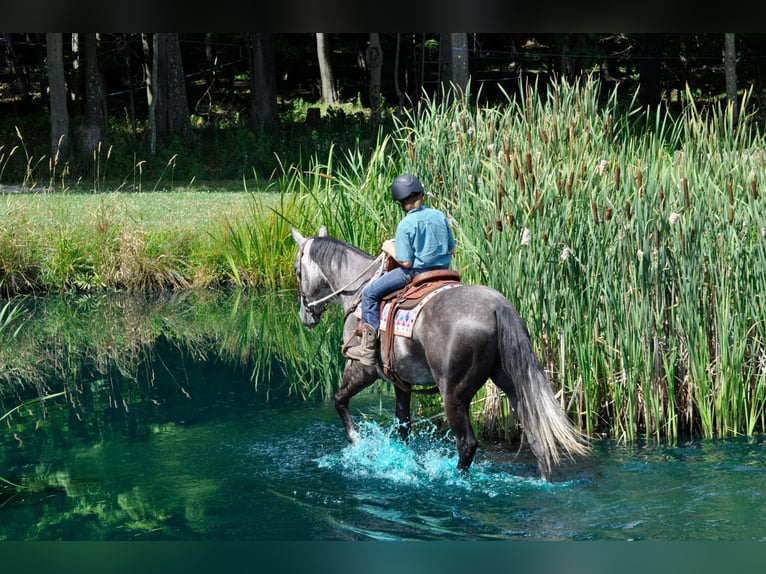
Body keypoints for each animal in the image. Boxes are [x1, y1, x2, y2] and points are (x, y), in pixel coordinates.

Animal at [292, 225, 592, 482]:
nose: (306, 316)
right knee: (535, 435)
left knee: (467, 443)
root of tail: (498, 306)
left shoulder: (362, 368)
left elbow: (339, 400)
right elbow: (403, 426)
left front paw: (357, 440)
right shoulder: (402, 381)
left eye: (296, 271)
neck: (360, 290)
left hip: (453, 394)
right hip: (512, 385)